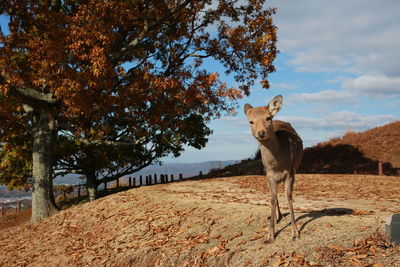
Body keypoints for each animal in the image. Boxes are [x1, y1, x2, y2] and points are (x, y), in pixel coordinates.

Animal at [244, 95, 304, 242]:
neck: (277, 165)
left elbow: (289, 196)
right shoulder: (269, 175)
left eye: (267, 118)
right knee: (275, 196)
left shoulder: (291, 171)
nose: (261, 133)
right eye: (251, 121)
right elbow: (272, 199)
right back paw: (278, 216)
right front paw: (270, 233)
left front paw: (295, 232)